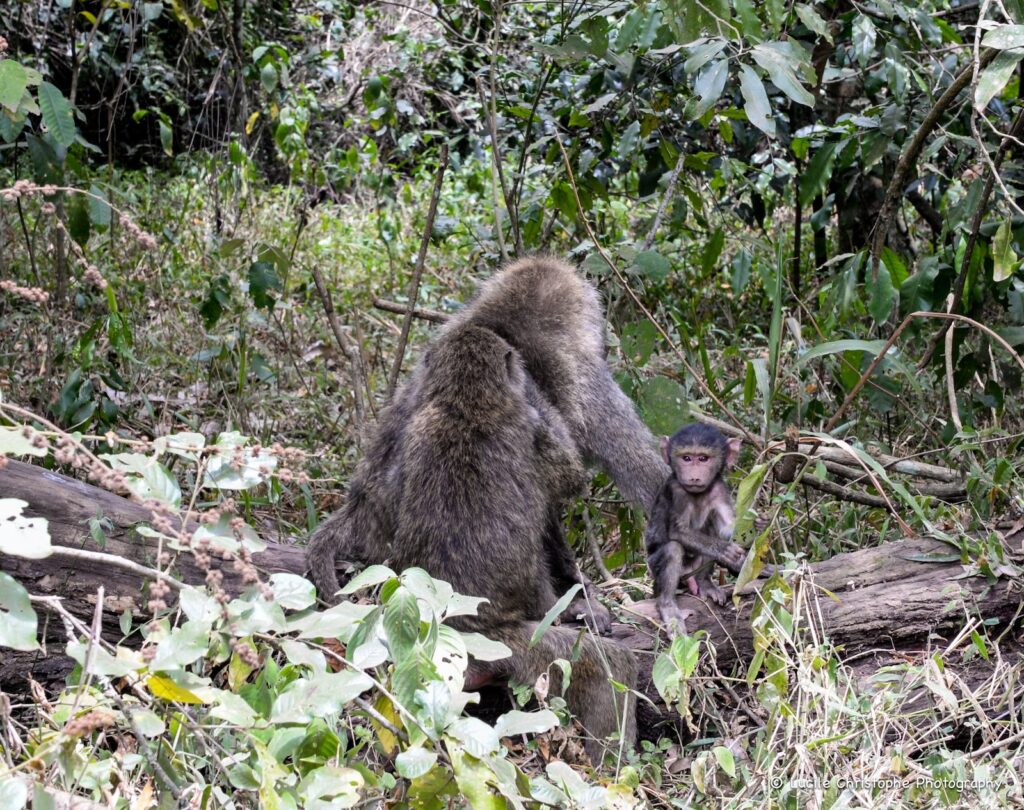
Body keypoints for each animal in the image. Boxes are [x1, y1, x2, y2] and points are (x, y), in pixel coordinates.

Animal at [645, 422, 747, 633]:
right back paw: (667, 605)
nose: (693, 477)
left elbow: (726, 528)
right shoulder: (676, 490)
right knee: (672, 549)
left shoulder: (719, 488)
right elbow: (678, 531)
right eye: (686, 458)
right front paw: (724, 550)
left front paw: (760, 523)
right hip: (653, 567)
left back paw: (705, 584)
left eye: (703, 459)